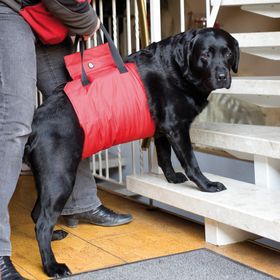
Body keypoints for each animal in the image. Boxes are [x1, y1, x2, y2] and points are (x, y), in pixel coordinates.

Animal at [24, 27, 238, 276]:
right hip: (60, 178)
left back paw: (55, 237)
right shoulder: (177, 127)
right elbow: (191, 162)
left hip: (47, 178)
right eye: (205, 55)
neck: (177, 68)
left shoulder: (163, 130)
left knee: (37, 215)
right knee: (42, 223)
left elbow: (164, 156)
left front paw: (172, 178)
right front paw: (207, 185)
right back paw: (52, 266)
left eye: (228, 53)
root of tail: (34, 125)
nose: (223, 76)